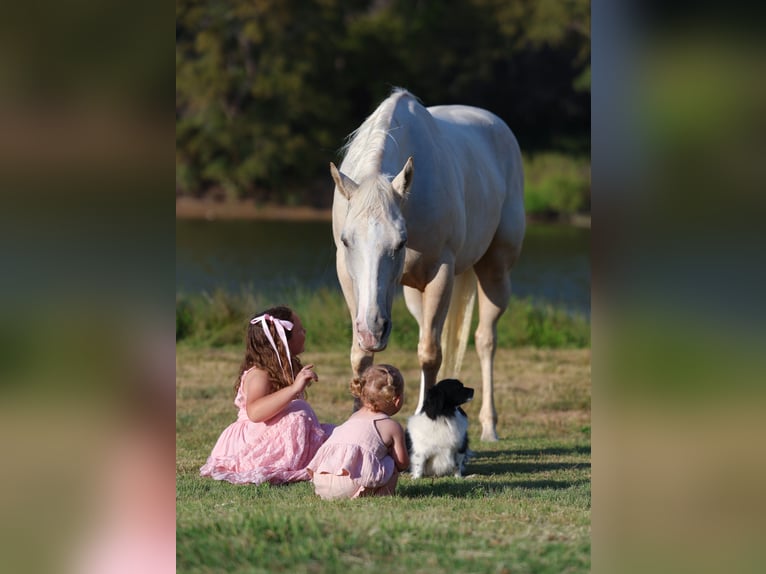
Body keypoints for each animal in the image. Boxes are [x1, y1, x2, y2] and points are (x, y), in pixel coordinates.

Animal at [330, 88, 524, 441]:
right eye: (348, 241)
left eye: (400, 242)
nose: (374, 329)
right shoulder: (348, 277)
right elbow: (362, 356)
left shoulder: (441, 273)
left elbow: (431, 354)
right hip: (413, 293)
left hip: (495, 272)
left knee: (484, 340)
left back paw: (489, 426)